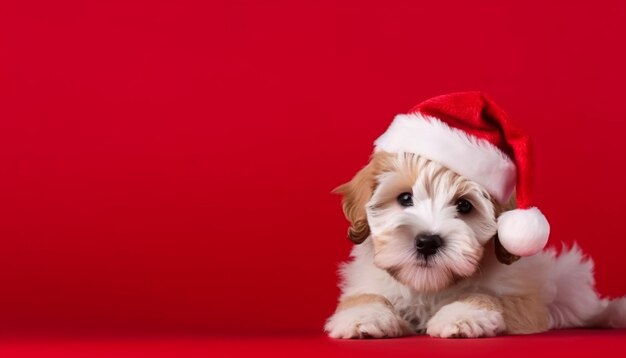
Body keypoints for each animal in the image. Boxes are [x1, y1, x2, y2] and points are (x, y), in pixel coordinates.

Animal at [324, 152, 624, 338]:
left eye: (464, 206)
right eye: (405, 198)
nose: (427, 242)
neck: (431, 286)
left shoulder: (524, 299)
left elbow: (490, 297)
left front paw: (461, 316)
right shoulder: (368, 280)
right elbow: (365, 296)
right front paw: (363, 317)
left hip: (569, 282)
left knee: (588, 309)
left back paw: (615, 313)